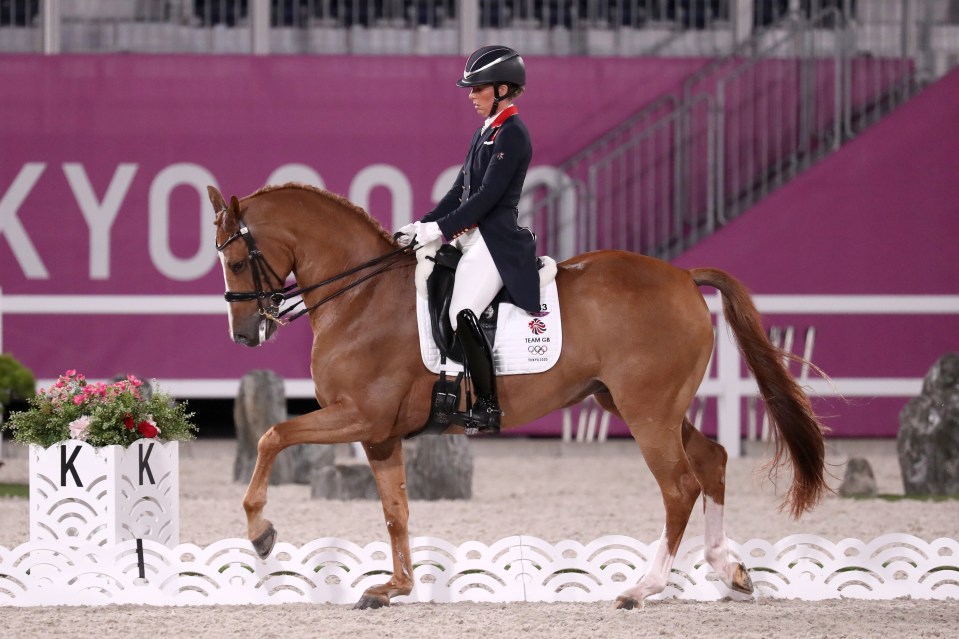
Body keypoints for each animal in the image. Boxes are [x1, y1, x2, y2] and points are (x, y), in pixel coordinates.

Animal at [212, 184, 832, 608]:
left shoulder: (358, 416)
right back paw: (729, 570)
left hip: (648, 413)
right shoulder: (379, 434)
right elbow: (395, 510)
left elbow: (273, 435)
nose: (244, 335)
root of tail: (682, 275)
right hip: (640, 405)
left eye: (237, 259)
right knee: (713, 460)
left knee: (680, 486)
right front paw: (395, 586)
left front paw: (260, 534)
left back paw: (643, 587)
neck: (360, 297)